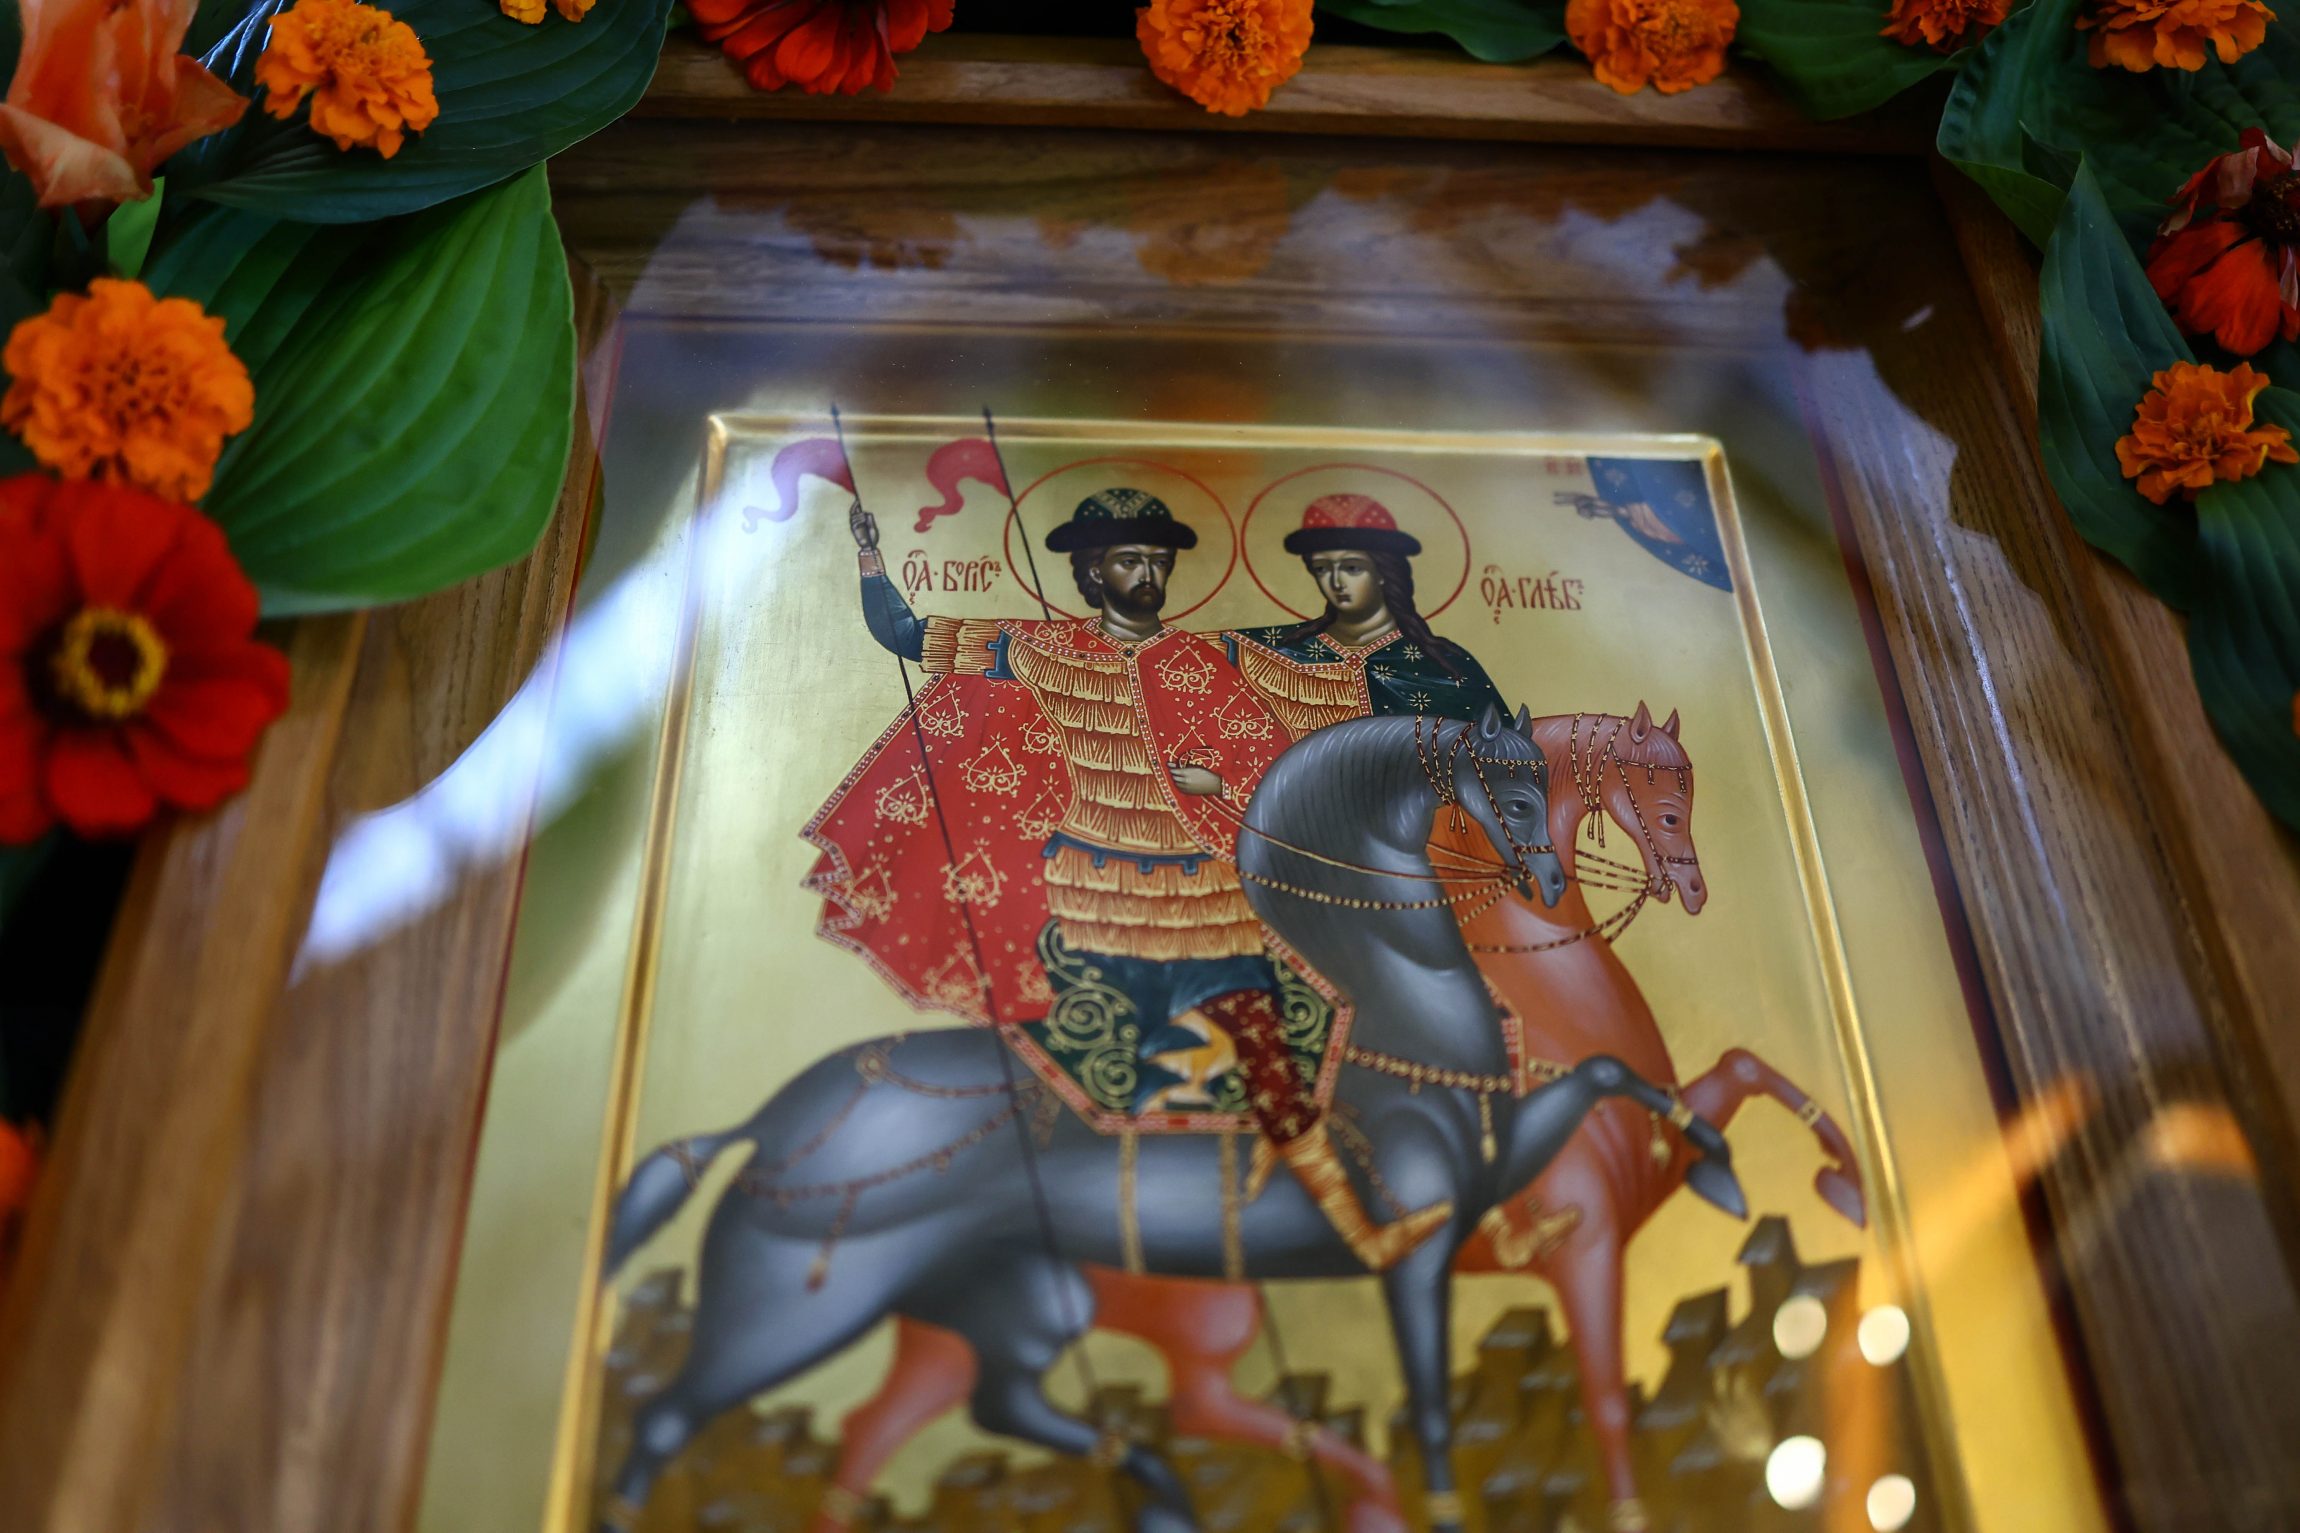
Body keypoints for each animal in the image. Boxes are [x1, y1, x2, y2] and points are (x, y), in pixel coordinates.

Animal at [595, 708, 1748, 1533]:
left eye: (1548, 788)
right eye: (1507, 792)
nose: (1549, 880)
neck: (1397, 1003)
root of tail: (765, 1121)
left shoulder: (1507, 1179)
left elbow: (1608, 1075)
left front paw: (1721, 1173)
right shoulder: (1418, 1256)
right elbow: (1433, 1412)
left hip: (1021, 1297)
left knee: (986, 1407)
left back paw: (1162, 1496)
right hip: (800, 1299)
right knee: (670, 1420)